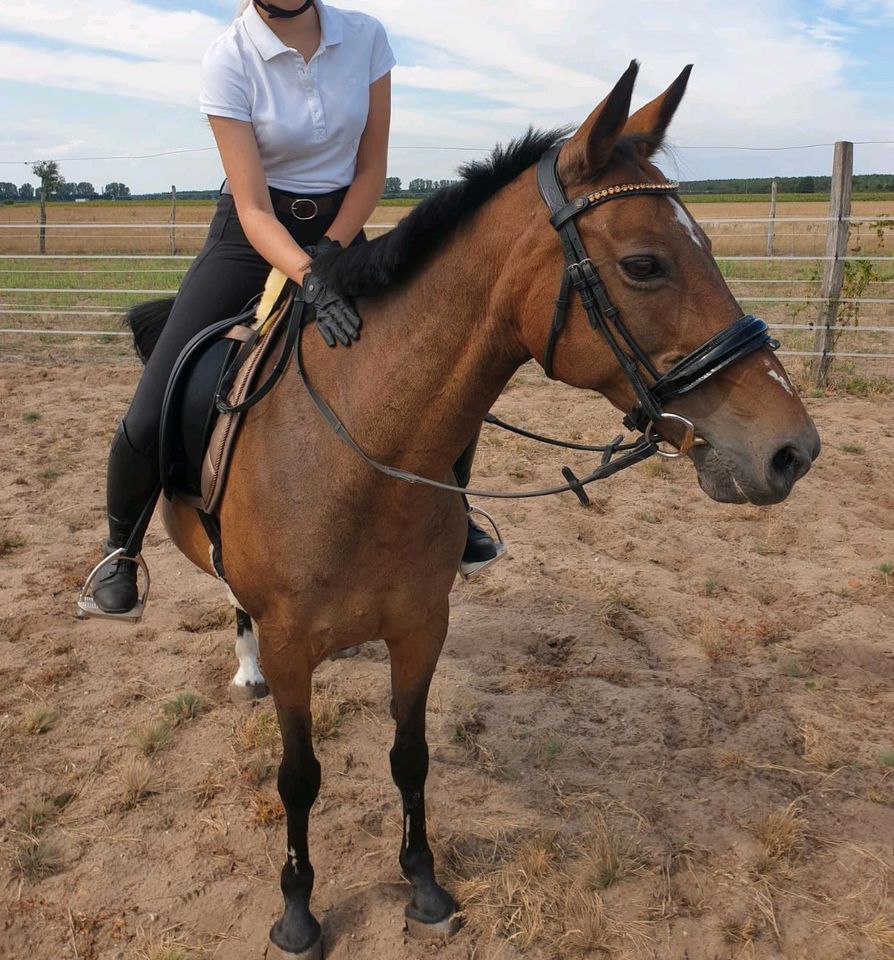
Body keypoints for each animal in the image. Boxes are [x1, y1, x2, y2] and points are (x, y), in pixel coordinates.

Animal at [135, 63, 820, 956]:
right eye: (643, 264)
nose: (792, 449)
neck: (356, 455)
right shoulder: (291, 646)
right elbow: (299, 777)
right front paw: (297, 910)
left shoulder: (423, 625)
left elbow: (410, 756)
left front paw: (424, 884)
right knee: (230, 596)